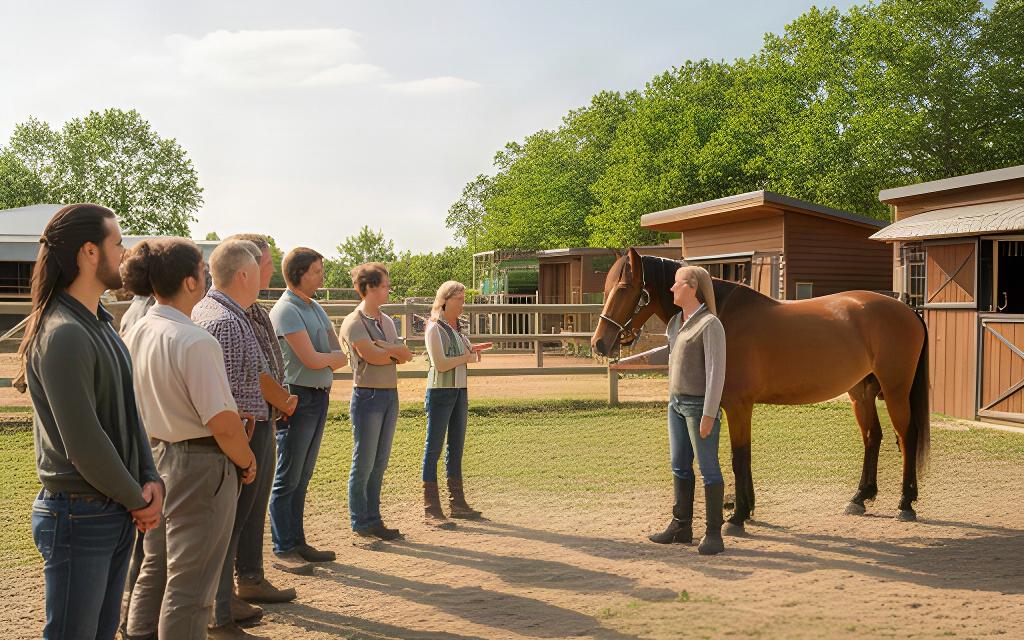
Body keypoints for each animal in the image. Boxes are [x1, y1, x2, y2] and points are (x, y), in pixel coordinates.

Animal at [592, 248, 930, 531]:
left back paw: (906, 503)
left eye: (623, 289)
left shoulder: (738, 405)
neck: (722, 318)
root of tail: (907, 309)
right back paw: (860, 497)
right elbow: (741, 456)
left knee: (906, 436)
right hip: (861, 393)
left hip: (896, 390)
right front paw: (742, 508)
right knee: (873, 436)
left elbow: (739, 456)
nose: (599, 343)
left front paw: (738, 516)